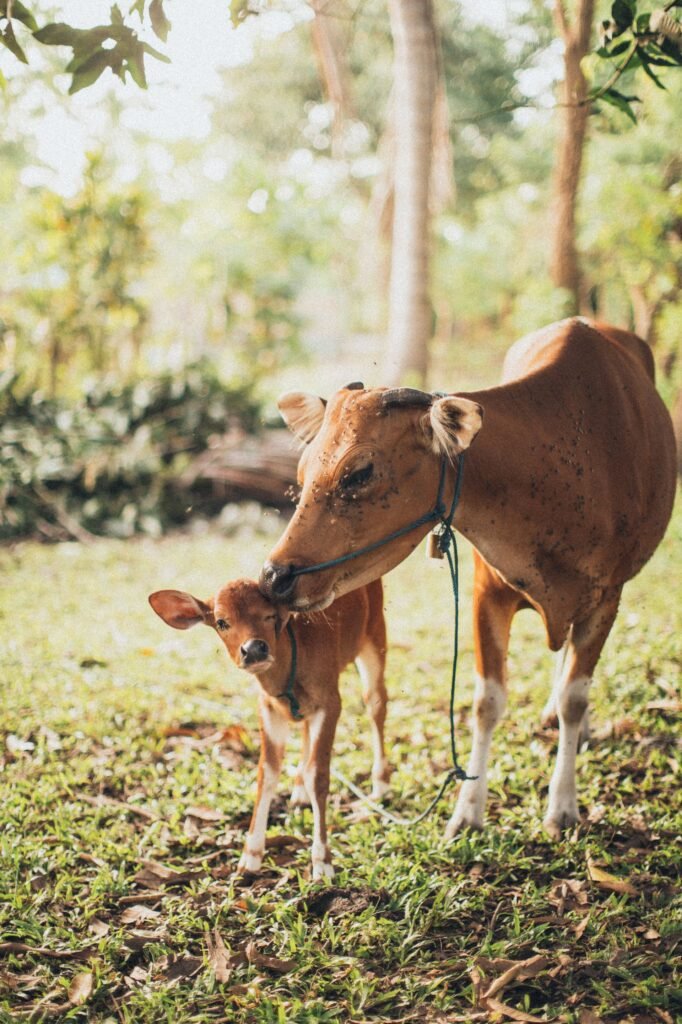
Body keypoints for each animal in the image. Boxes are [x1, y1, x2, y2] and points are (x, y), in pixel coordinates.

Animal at [259, 318, 676, 839]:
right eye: (301, 473)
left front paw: (562, 805)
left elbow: (575, 698)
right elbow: (486, 702)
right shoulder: (486, 592)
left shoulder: (606, 597)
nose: (275, 576)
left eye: (358, 473)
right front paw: (468, 810)